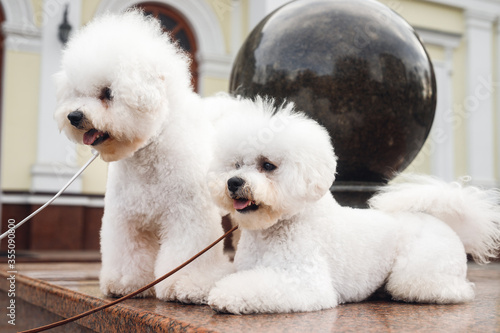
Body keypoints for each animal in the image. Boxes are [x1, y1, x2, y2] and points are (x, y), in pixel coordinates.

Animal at [53, 10, 233, 302]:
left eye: (107, 93)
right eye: (77, 92)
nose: (74, 116)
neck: (149, 152)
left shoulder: (188, 214)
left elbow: (186, 253)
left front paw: (182, 284)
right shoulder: (127, 217)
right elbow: (128, 252)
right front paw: (126, 283)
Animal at [206, 99, 500, 314]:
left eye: (268, 165)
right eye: (235, 164)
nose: (234, 182)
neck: (280, 225)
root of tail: (445, 223)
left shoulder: (303, 281)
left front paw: (226, 295)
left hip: (420, 271)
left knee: (445, 289)